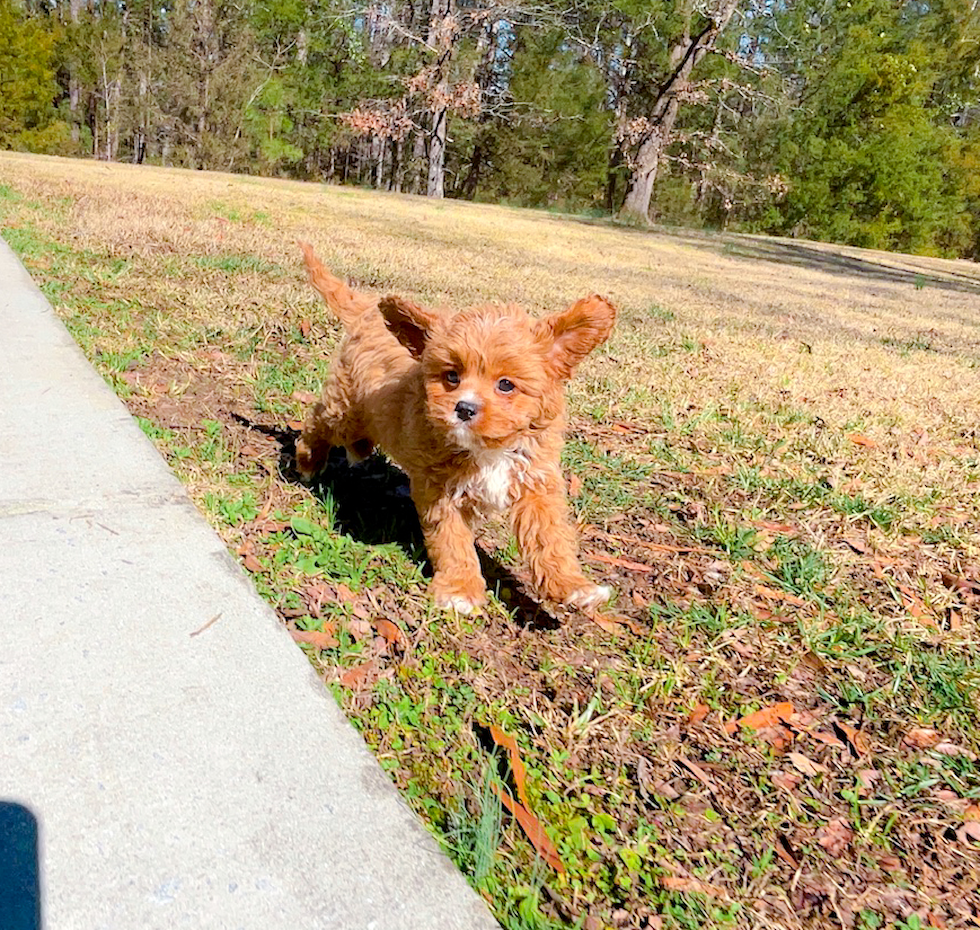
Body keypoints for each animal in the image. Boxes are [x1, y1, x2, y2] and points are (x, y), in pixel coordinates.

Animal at [292, 243, 612, 612]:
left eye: (506, 385)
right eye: (452, 376)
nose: (464, 408)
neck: (490, 450)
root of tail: (368, 313)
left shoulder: (536, 483)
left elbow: (550, 538)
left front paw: (573, 587)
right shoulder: (440, 489)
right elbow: (451, 539)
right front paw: (460, 590)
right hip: (346, 410)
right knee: (319, 420)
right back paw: (307, 460)